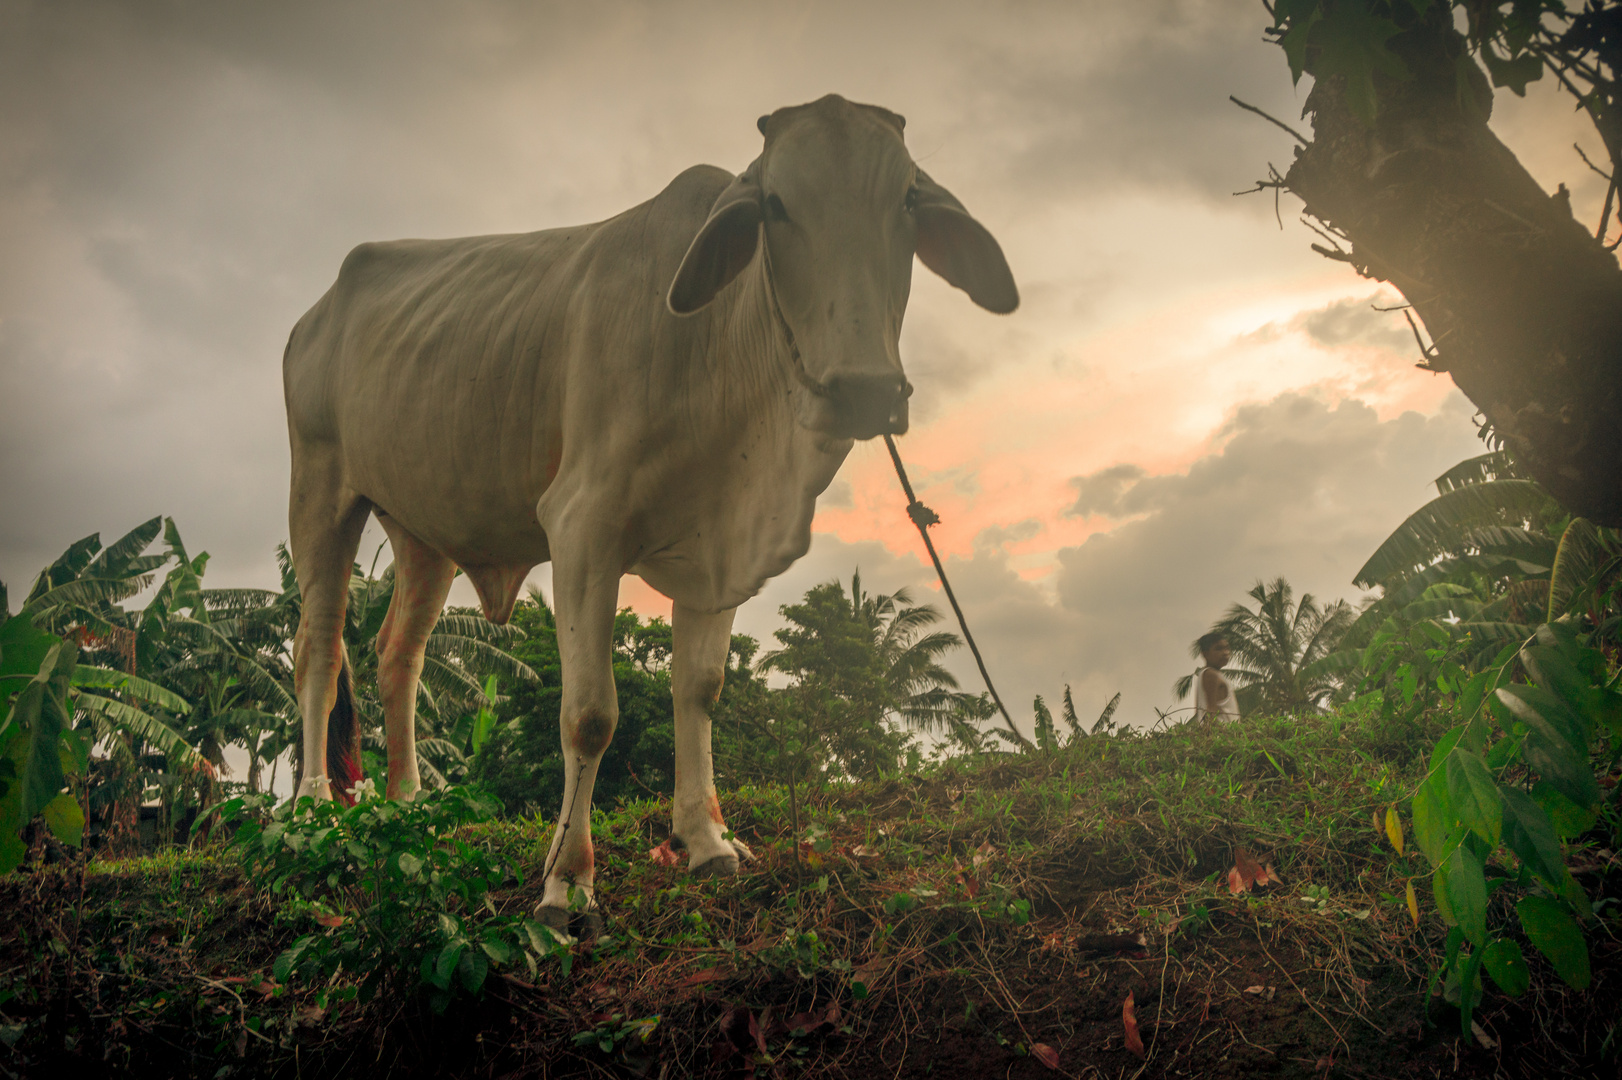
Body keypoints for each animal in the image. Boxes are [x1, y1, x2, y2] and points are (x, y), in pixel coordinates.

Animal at [278, 94, 1012, 934]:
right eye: (774, 205)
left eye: (909, 201)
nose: (865, 389)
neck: (717, 348)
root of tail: (315, 314)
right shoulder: (582, 529)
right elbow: (590, 715)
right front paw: (567, 882)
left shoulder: (720, 548)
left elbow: (700, 689)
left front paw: (707, 840)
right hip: (321, 491)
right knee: (318, 649)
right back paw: (311, 805)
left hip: (423, 530)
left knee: (399, 653)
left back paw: (409, 803)